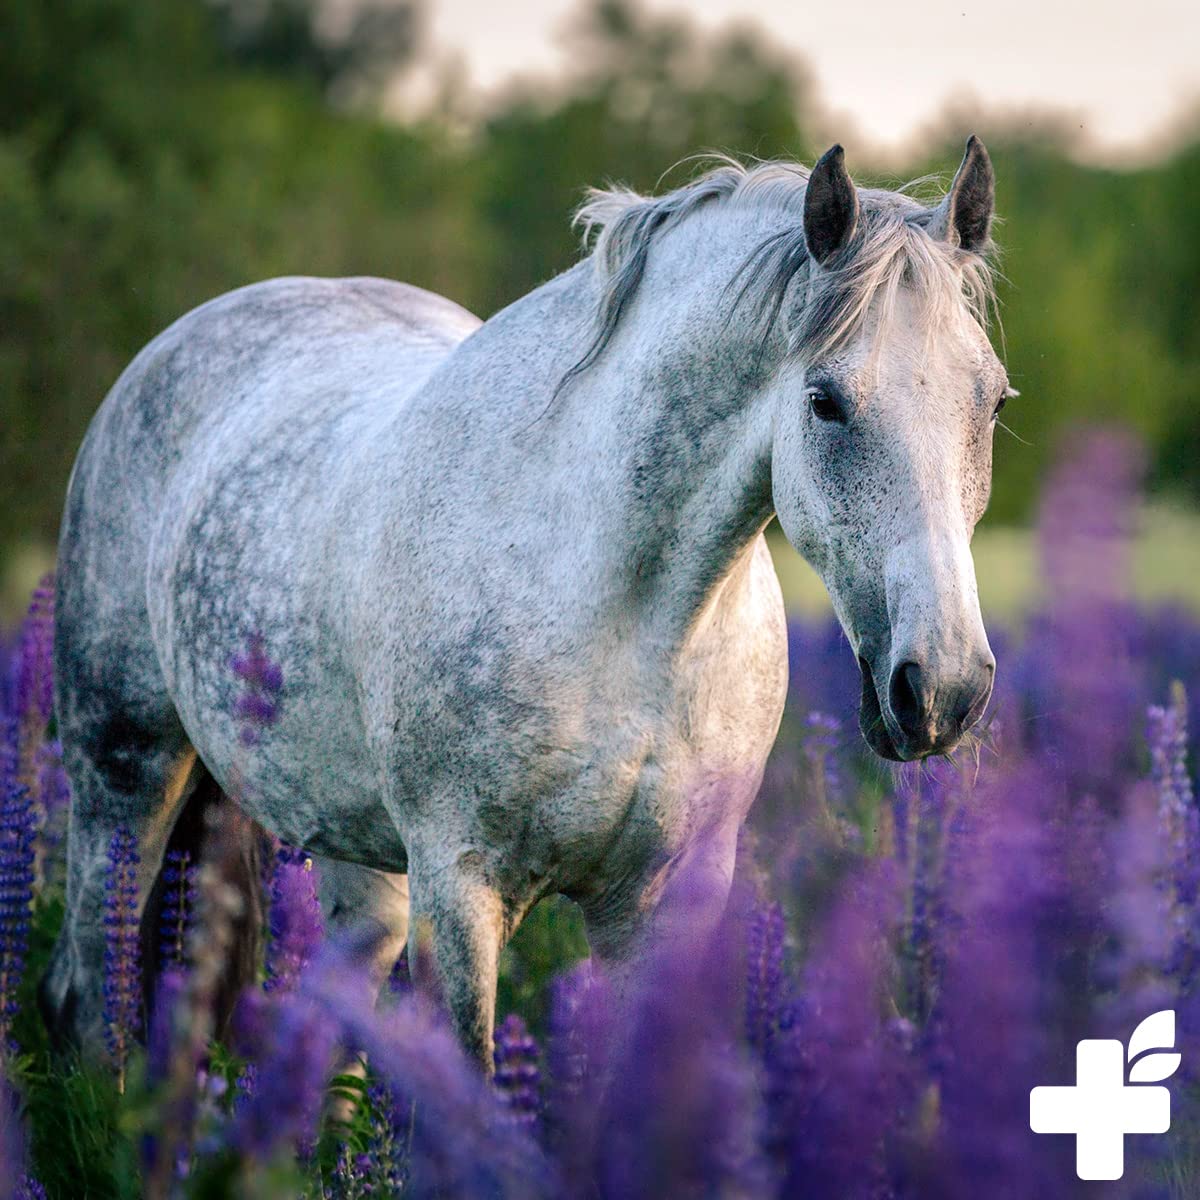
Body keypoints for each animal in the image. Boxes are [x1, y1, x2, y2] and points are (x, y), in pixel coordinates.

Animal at [41, 138, 1005, 1066]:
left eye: (994, 401)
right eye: (825, 401)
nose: (944, 688)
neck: (629, 617)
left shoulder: (661, 901)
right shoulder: (460, 889)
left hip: (356, 856)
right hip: (122, 779)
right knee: (92, 992)